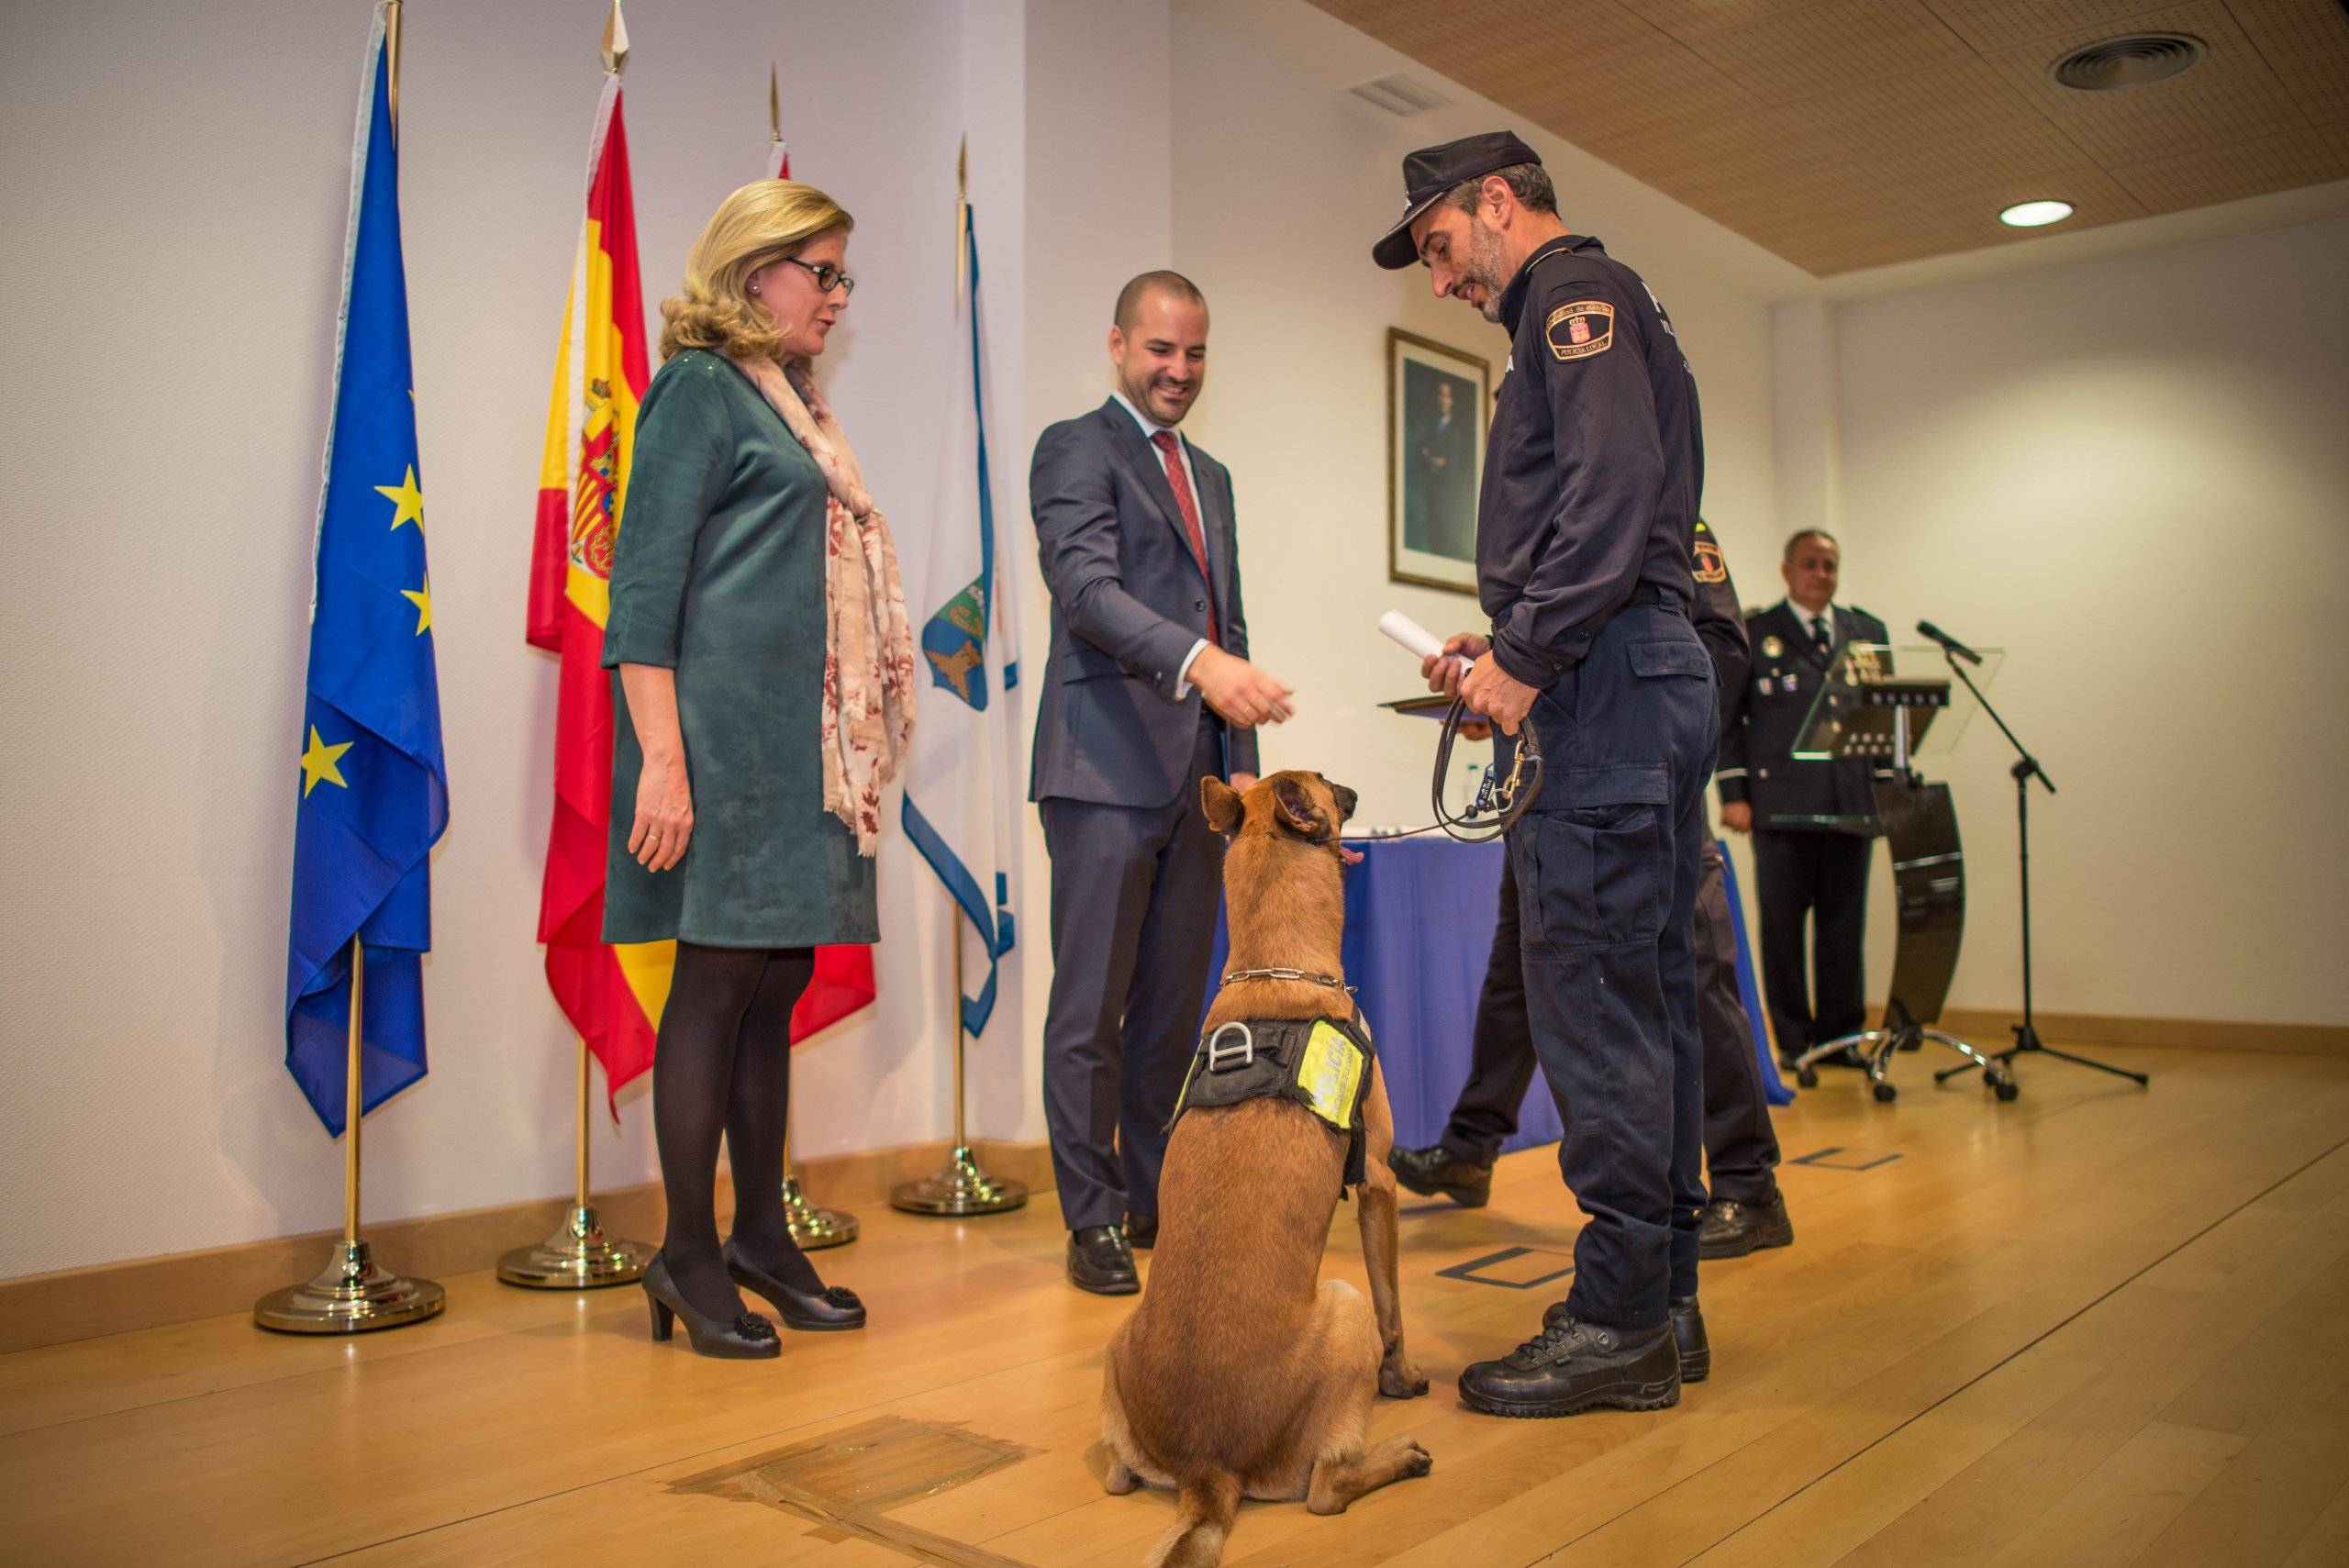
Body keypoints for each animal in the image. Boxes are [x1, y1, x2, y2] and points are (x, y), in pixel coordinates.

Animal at [1099, 770, 1428, 1568]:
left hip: (1116, 1354)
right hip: (1342, 1303)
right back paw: (1398, 1454)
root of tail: (1207, 1468)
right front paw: (1401, 1379)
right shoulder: (1377, 1183)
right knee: (1326, 1490)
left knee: (1119, 1477)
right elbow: (1395, 1309)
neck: (1274, 965)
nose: (1355, 787)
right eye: (1328, 784)